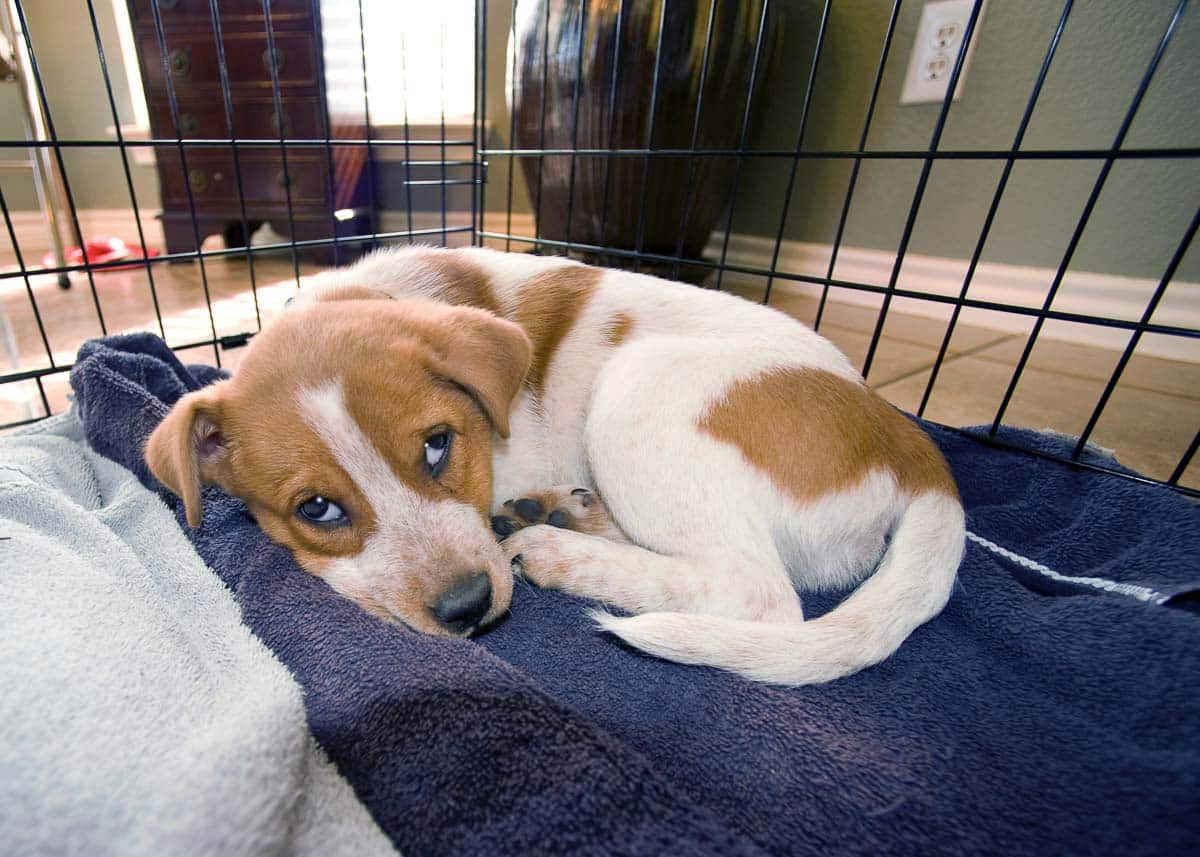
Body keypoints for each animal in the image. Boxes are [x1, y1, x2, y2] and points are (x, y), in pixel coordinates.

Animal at [145, 243, 964, 686]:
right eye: (316, 508)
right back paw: (570, 514)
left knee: (753, 589)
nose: (469, 607)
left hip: (639, 389)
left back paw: (560, 550)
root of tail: (912, 446)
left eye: (438, 444)